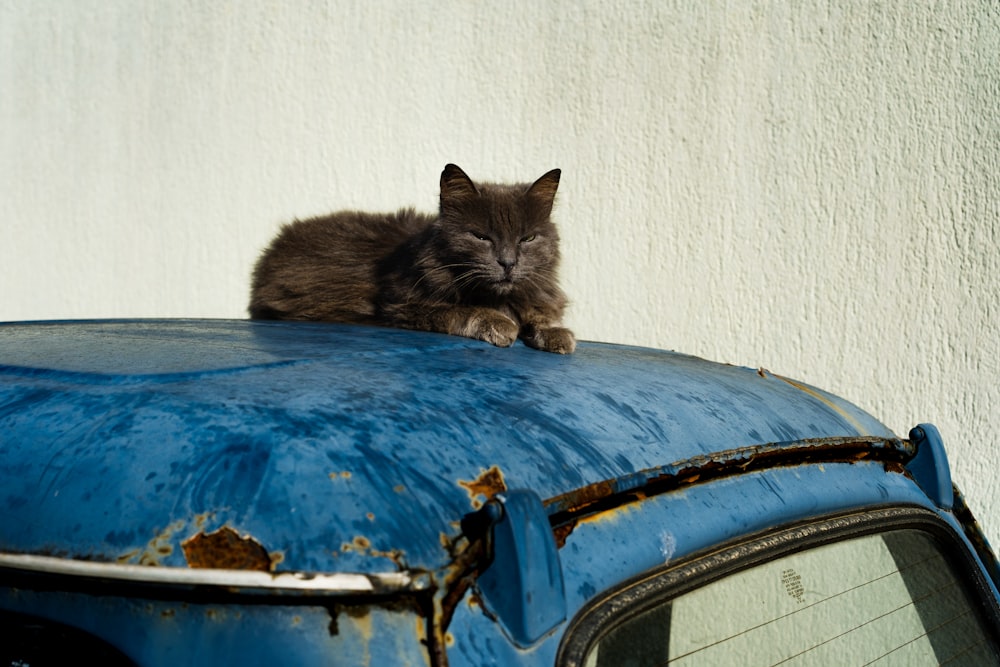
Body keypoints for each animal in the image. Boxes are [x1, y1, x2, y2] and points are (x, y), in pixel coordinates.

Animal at [248, 163, 580, 354]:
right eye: (481, 237)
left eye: (528, 239)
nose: (508, 262)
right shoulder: (401, 305)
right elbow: (462, 311)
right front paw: (501, 323)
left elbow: (541, 313)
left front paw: (557, 334)